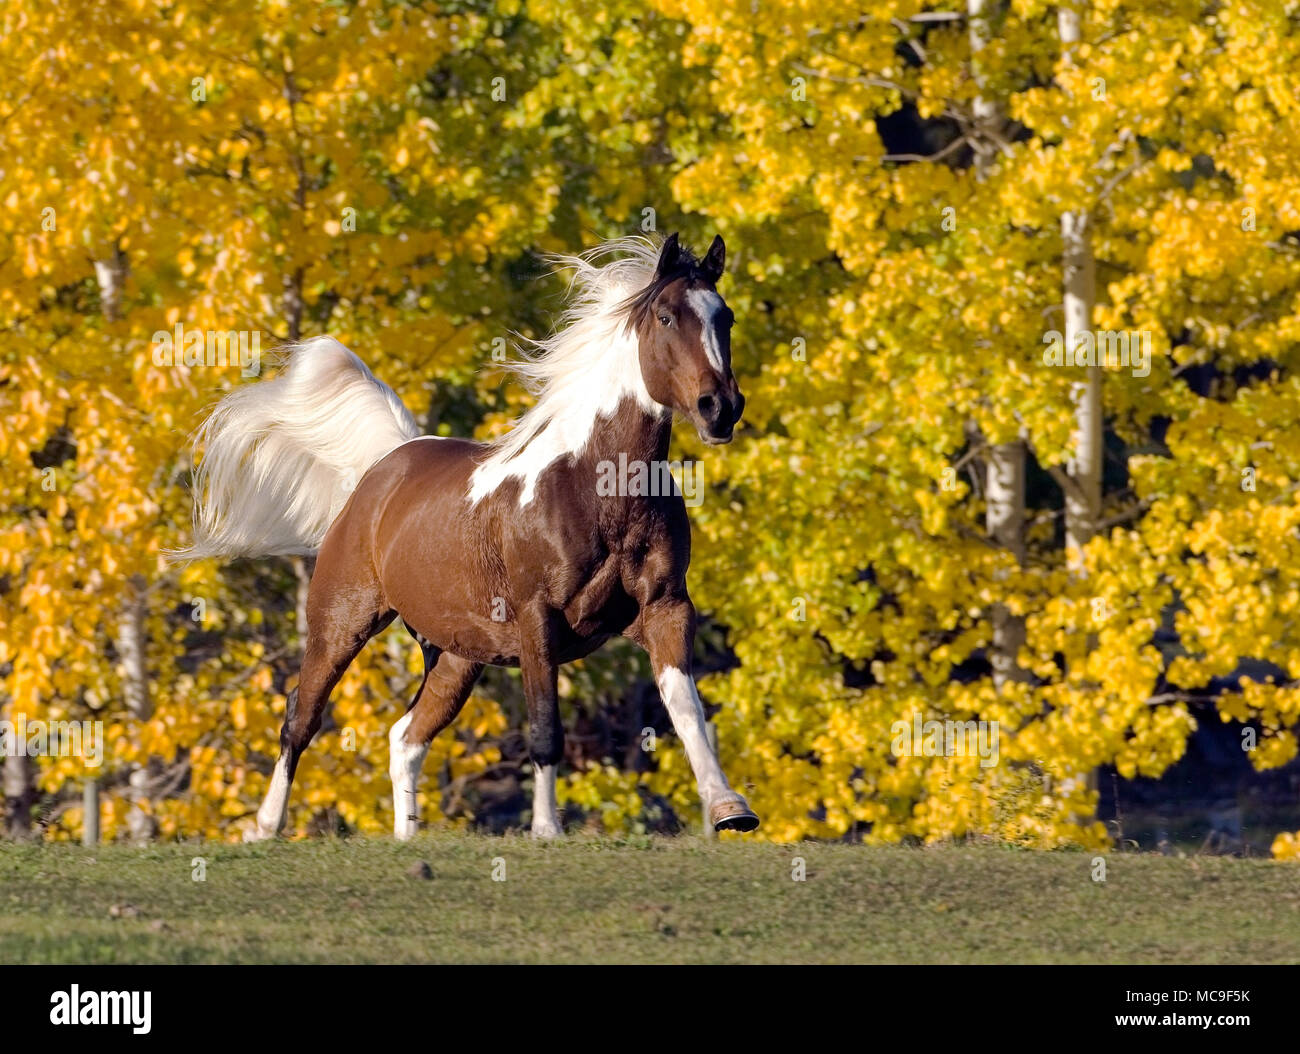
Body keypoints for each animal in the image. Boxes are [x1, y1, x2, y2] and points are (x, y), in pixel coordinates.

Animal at [178, 232, 759, 842]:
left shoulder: (666, 606)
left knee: (405, 738)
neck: (596, 490)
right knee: (301, 716)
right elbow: (545, 727)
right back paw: (265, 826)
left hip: (458, 656)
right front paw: (546, 830)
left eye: (725, 317)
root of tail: (385, 467)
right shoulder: (537, 618)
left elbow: (687, 710)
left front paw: (730, 809)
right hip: (341, 623)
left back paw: (405, 837)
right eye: (667, 316)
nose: (721, 408)